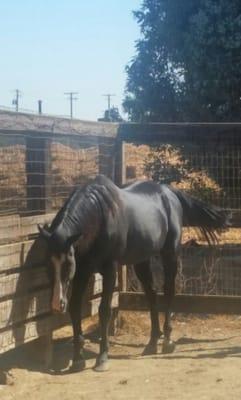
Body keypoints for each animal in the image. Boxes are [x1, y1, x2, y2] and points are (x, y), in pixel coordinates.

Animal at [38, 174, 230, 372]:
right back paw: (152, 342)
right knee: (152, 295)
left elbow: (104, 310)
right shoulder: (82, 271)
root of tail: (169, 192)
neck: (99, 216)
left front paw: (102, 358)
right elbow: (75, 308)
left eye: (67, 263)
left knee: (169, 291)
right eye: (47, 263)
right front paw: (77, 359)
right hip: (141, 261)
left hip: (170, 253)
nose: (56, 304)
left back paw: (167, 341)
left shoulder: (109, 270)